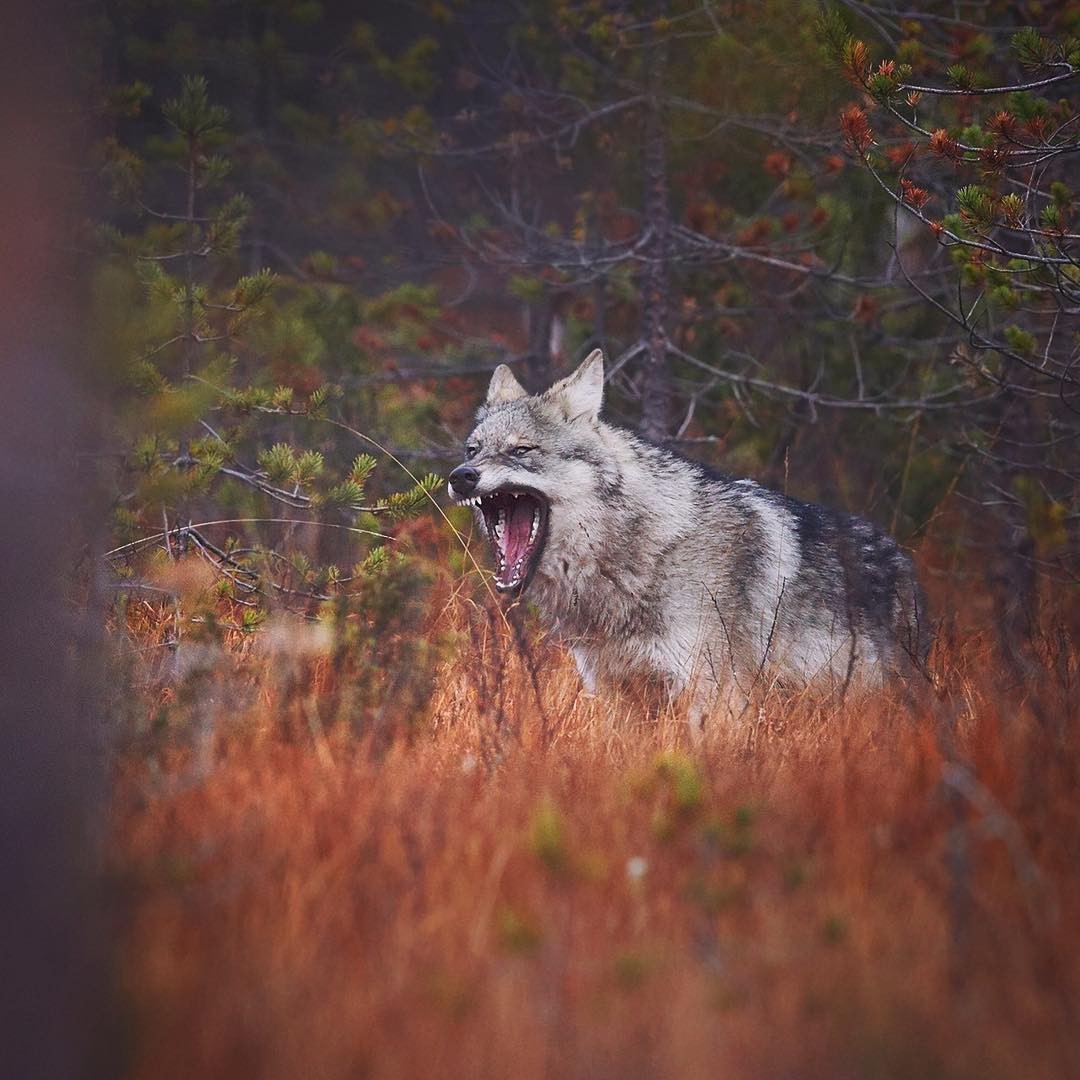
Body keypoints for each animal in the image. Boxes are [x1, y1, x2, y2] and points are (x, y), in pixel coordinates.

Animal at [444, 349, 928, 730]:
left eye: (521, 450)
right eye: (473, 450)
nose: (460, 477)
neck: (642, 553)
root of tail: (904, 562)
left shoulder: (714, 698)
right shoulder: (618, 694)